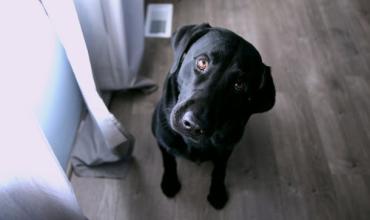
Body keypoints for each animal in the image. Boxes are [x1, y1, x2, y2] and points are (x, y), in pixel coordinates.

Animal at [150, 24, 274, 210]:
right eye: (202, 62)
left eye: (239, 84)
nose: (193, 124)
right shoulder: (163, 139)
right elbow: (169, 160)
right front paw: (170, 182)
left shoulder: (226, 149)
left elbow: (220, 170)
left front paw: (217, 192)